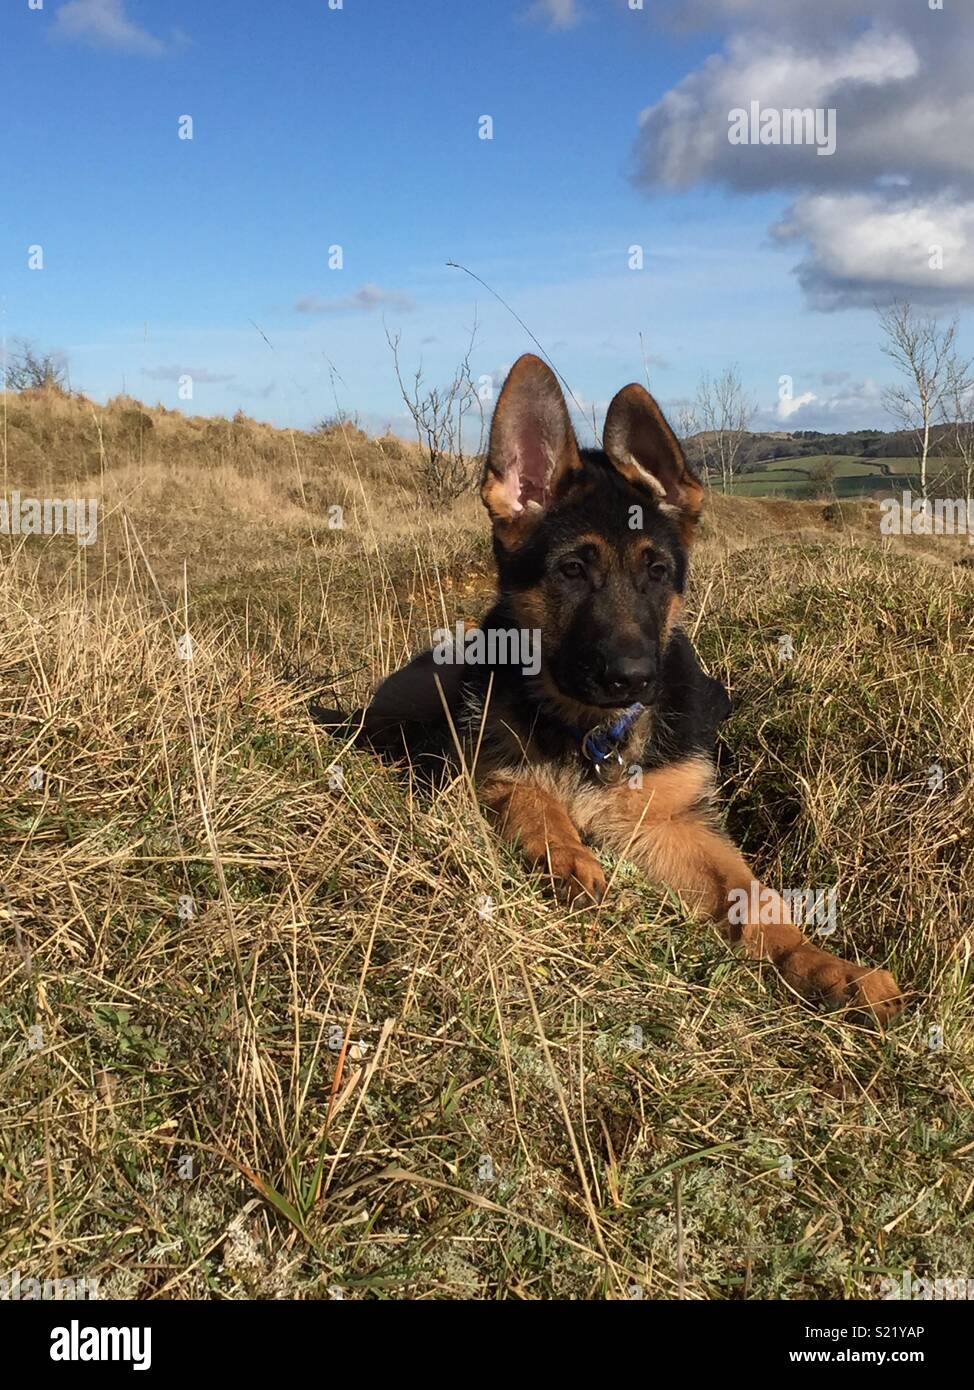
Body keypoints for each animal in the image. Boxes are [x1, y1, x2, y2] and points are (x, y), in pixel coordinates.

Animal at [325, 355, 894, 1023]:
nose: (634, 679)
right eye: (572, 571)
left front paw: (824, 966)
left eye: (657, 572)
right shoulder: (485, 772)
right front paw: (566, 855)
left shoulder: (669, 824)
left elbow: (753, 896)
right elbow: (531, 799)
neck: (589, 732)